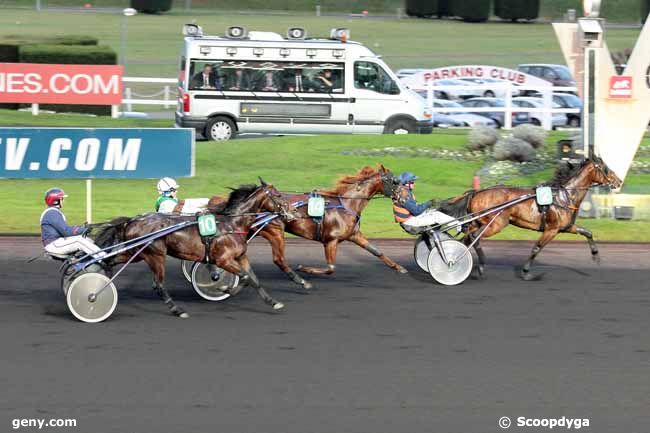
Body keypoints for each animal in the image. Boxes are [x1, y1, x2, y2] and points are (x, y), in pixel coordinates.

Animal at [92, 181, 292, 316]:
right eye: (278, 195)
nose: (291, 211)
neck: (231, 224)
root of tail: (133, 220)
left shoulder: (241, 256)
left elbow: (254, 279)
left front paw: (273, 302)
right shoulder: (223, 259)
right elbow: (243, 277)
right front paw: (224, 289)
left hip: (136, 253)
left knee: (110, 260)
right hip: (155, 254)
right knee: (158, 284)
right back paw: (177, 310)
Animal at [206, 164, 400, 288]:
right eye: (394, 181)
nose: (401, 195)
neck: (346, 203)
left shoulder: (354, 235)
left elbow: (376, 251)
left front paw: (399, 268)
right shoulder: (331, 240)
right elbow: (330, 268)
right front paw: (304, 268)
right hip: (275, 230)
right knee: (278, 259)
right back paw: (300, 279)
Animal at [432, 157, 620, 278]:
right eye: (605, 168)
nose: (618, 181)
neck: (563, 197)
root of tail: (476, 192)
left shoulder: (566, 227)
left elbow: (587, 232)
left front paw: (596, 256)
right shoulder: (552, 229)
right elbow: (536, 248)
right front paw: (526, 271)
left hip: (479, 221)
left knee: (466, 238)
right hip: (496, 224)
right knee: (473, 237)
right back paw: (477, 266)